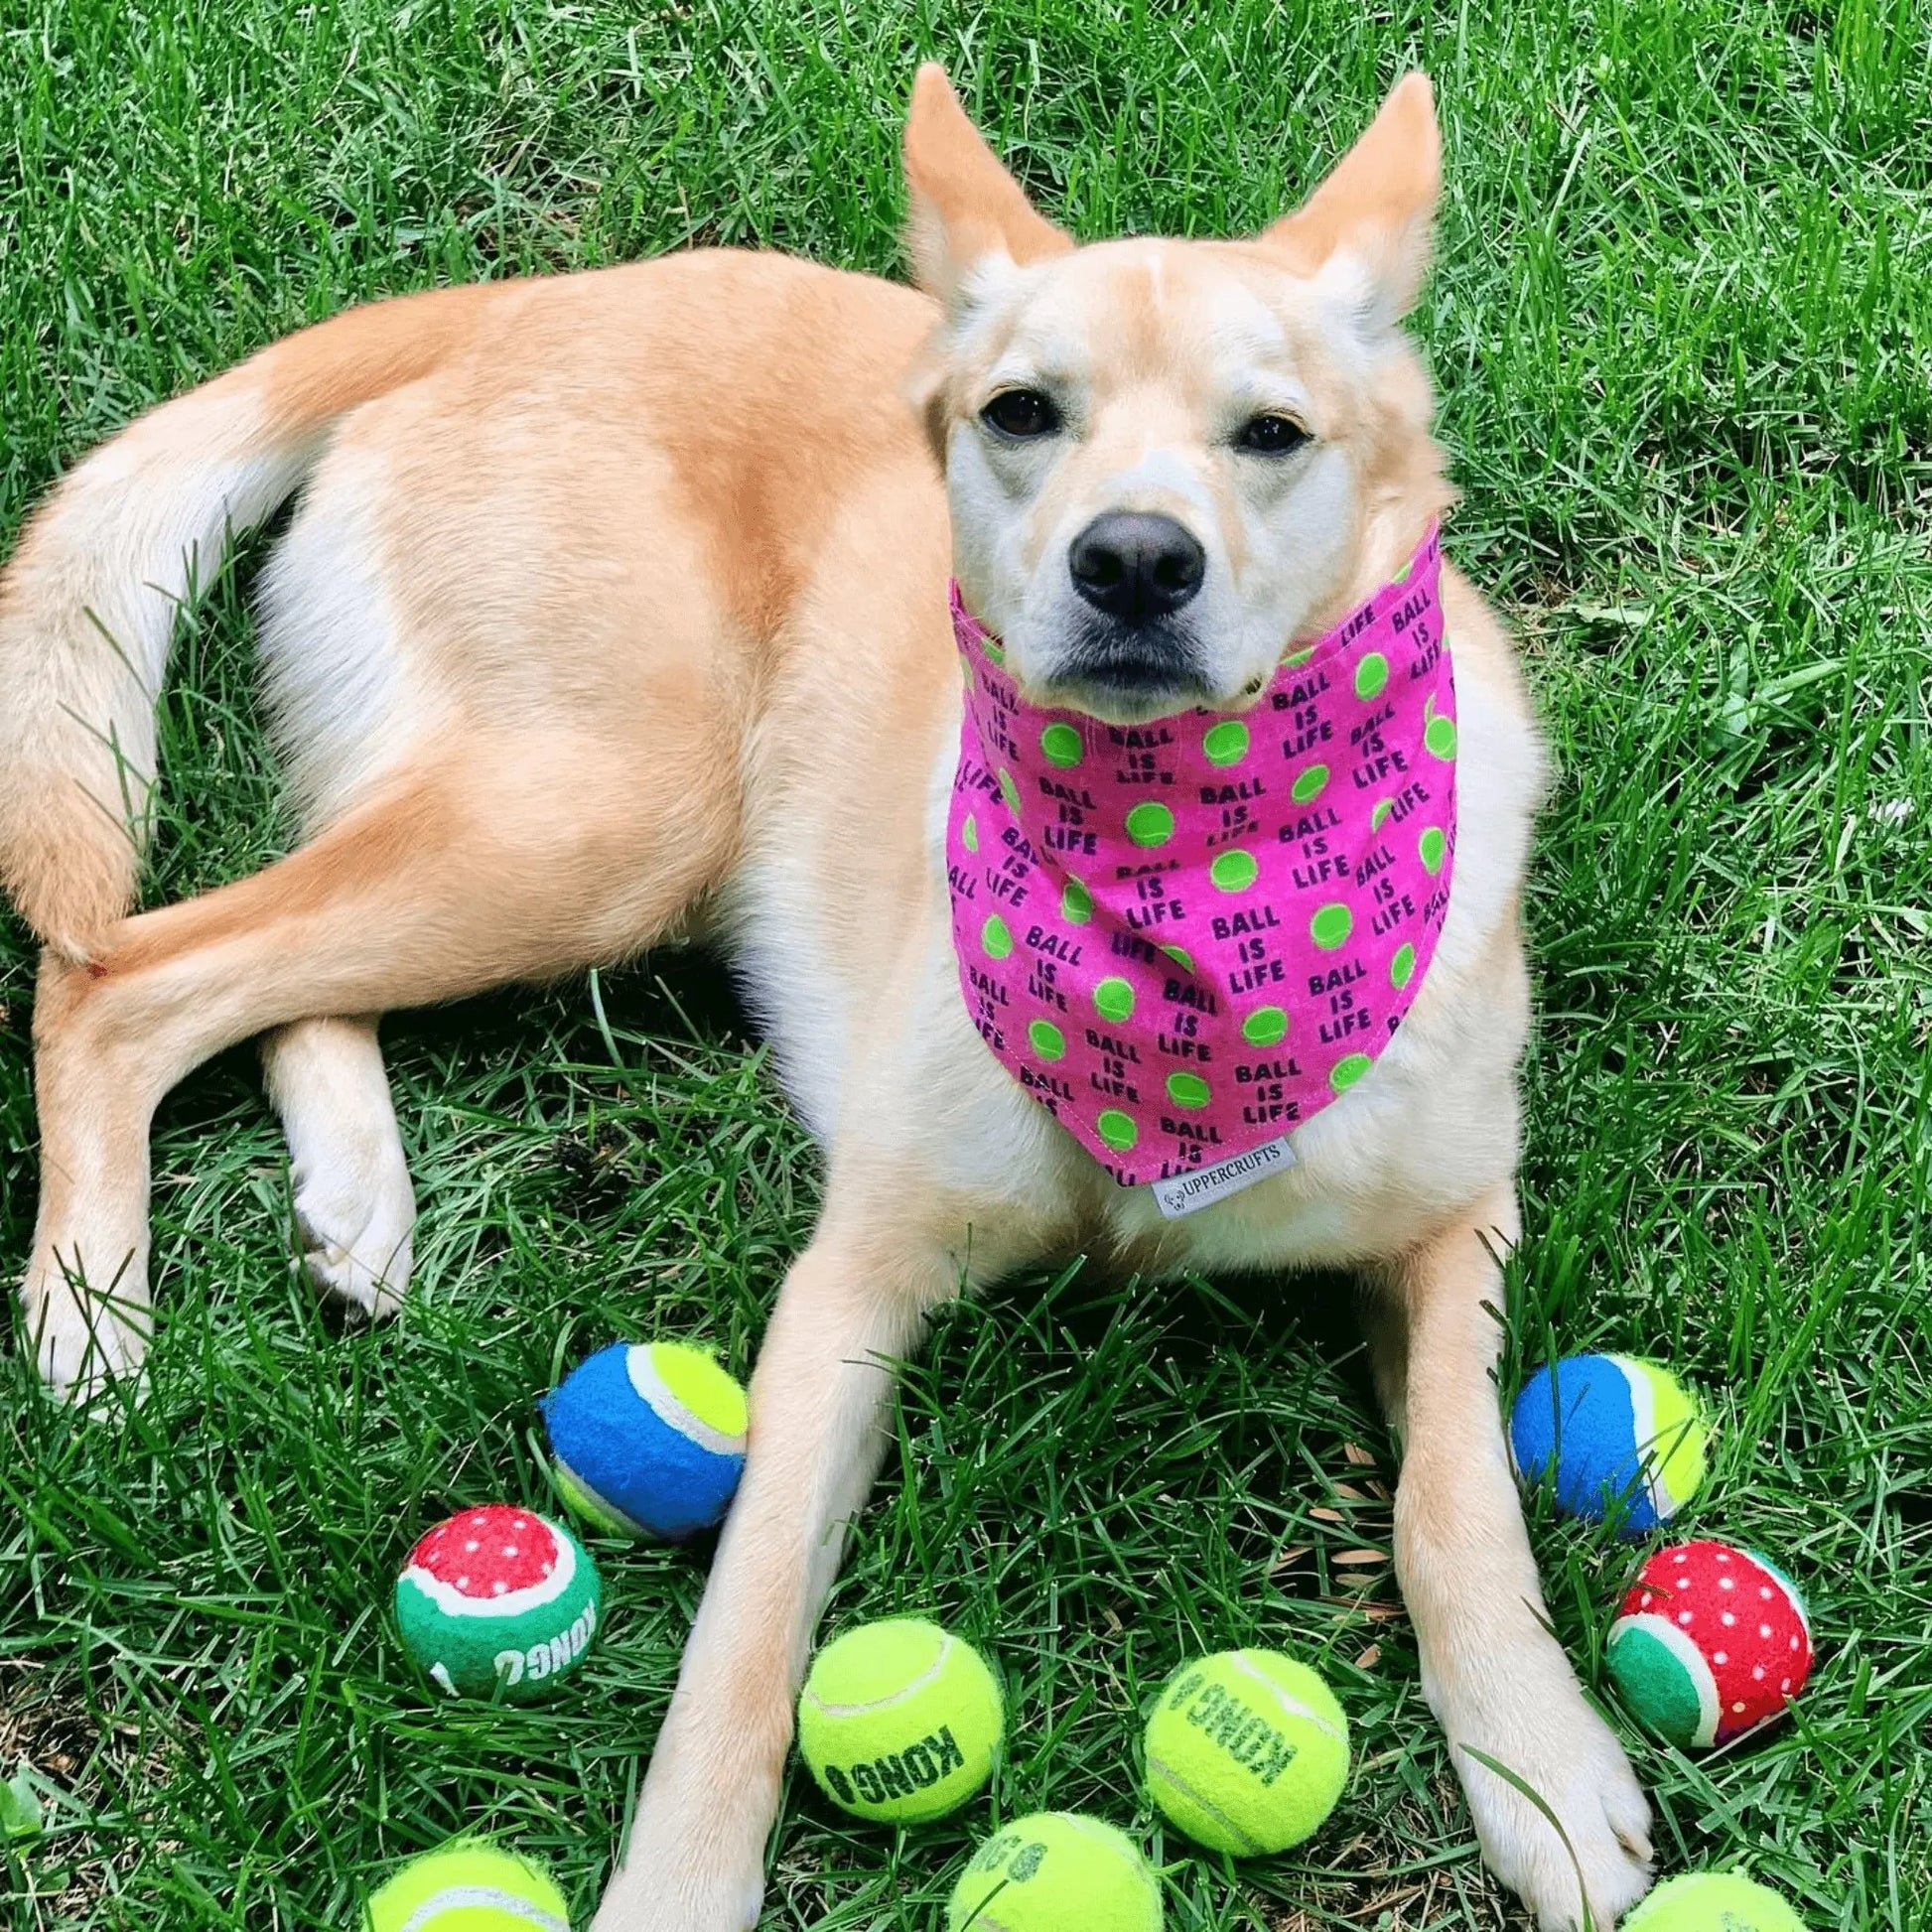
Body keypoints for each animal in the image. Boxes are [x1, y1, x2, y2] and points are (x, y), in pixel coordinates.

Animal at [7, 64, 1653, 1932]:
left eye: (1272, 433)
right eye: (1023, 412)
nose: (1133, 562)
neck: (1193, 892)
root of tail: (508, 302)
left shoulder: (1457, 1214)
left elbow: (1457, 1484)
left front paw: (1537, 1758)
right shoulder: (851, 1280)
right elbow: (741, 1630)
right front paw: (675, 1887)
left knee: (260, 964)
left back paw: (352, 1192)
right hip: (608, 819)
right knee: (125, 976)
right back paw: (91, 1314)